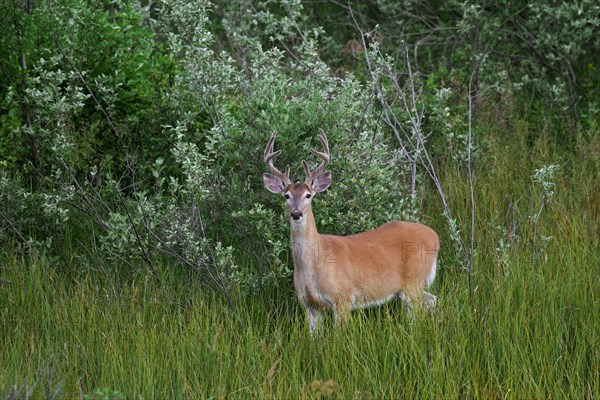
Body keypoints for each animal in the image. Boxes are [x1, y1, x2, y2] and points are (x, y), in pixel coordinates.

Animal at [262, 130, 436, 332]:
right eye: (286, 195)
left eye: (308, 195)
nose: (296, 213)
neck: (315, 262)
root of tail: (435, 236)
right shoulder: (310, 306)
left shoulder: (342, 298)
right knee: (433, 300)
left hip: (413, 281)